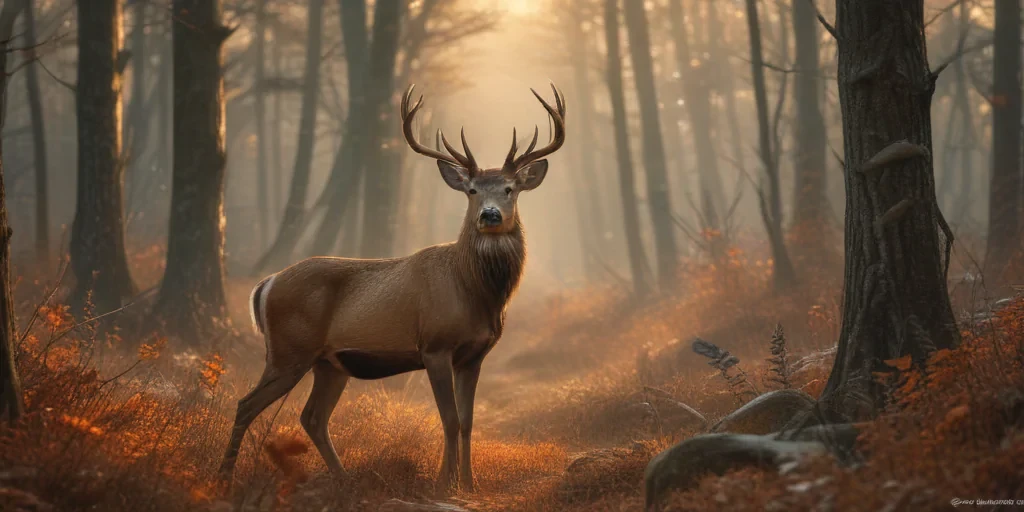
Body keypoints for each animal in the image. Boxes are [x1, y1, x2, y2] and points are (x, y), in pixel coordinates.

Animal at [218, 84, 566, 494]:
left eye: (510, 189)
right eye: (471, 190)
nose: (490, 214)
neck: (475, 293)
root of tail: (266, 284)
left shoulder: (474, 355)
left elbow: (467, 421)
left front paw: (469, 484)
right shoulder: (434, 344)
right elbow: (448, 419)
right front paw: (443, 483)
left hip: (330, 363)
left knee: (312, 417)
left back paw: (344, 479)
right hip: (289, 350)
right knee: (246, 404)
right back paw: (224, 477)